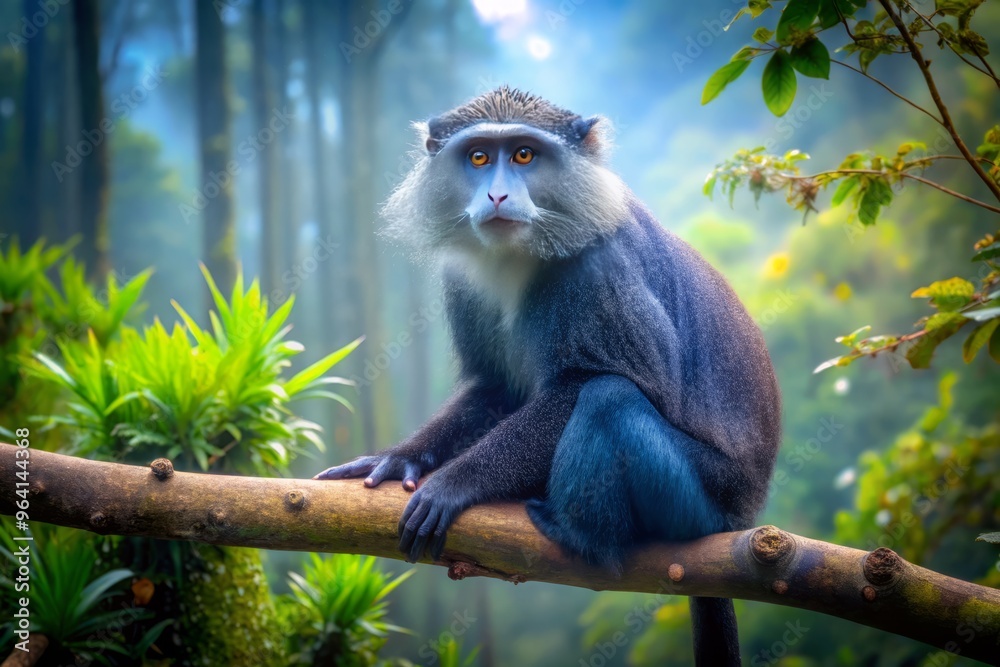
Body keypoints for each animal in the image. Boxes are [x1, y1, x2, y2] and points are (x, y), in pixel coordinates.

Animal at [314, 86, 781, 667]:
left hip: (701, 507)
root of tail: (743, 516)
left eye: (523, 155)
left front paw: (454, 483)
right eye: (478, 157)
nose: (496, 196)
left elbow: (610, 383)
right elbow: (494, 389)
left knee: (609, 397)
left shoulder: (600, 271)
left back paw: (581, 541)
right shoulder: (463, 280)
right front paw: (400, 457)